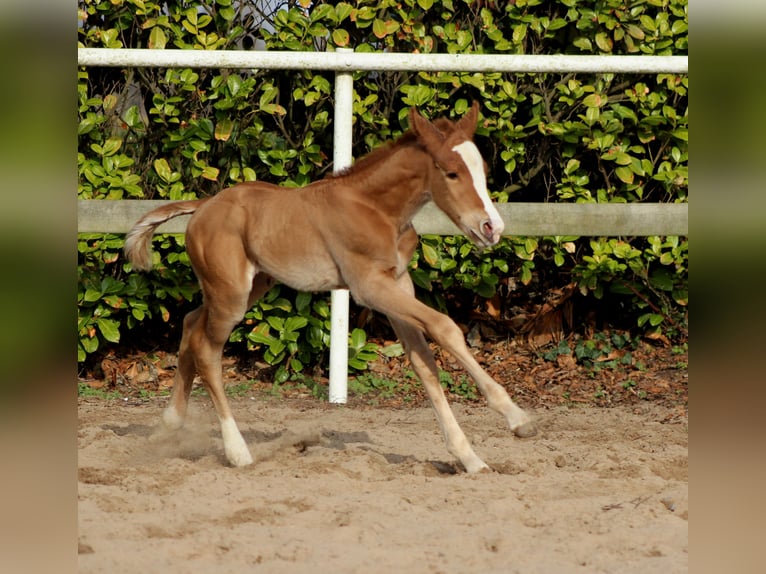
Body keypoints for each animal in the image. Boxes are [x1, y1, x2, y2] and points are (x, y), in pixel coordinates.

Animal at [124, 101, 536, 473]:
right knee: (207, 350)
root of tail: (203, 206)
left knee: (191, 323)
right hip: (231, 295)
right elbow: (446, 327)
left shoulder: (398, 286)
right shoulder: (370, 286)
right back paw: (237, 452)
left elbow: (423, 363)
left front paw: (470, 459)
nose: (491, 228)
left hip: (252, 285)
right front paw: (516, 417)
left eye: (483, 171)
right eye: (451, 173)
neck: (377, 209)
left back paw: (169, 425)